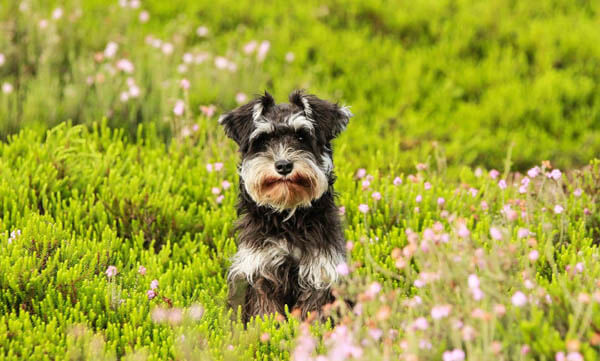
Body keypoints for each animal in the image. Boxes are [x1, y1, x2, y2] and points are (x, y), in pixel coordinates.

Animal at [219, 89, 352, 320]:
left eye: (301, 136)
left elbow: (311, 312)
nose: (283, 165)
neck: (288, 216)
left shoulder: (319, 273)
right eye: (263, 140)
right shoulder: (260, 271)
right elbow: (266, 313)